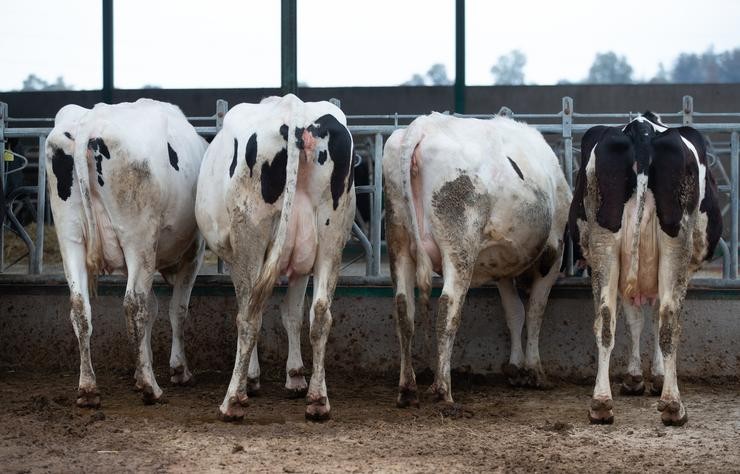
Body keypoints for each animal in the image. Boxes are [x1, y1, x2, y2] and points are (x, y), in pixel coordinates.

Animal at [44, 100, 207, 408]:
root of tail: (91, 120)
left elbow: (154, 307)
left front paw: (142, 368)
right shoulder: (193, 251)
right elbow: (177, 309)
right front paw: (177, 370)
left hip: (70, 237)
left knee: (80, 307)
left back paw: (88, 388)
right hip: (138, 239)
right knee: (133, 305)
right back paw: (150, 388)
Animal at [195, 94, 356, 420]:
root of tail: (294, 110)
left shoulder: (236, 258)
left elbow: (251, 308)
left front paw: (252, 378)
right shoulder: (301, 266)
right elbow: (292, 313)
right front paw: (295, 377)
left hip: (250, 238)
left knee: (249, 316)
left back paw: (232, 400)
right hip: (331, 237)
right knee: (321, 313)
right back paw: (318, 400)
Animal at [382, 112, 572, 408]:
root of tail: (422, 126)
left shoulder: (502, 266)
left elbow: (514, 312)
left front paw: (515, 369)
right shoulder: (552, 254)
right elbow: (535, 311)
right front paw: (534, 371)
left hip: (398, 240)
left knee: (404, 309)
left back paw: (408, 389)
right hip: (459, 244)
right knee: (448, 307)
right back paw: (443, 390)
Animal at [568, 111, 724, 426]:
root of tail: (642, 128)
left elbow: (634, 320)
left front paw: (635, 377)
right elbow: (649, 320)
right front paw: (653, 377)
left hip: (605, 241)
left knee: (605, 318)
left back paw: (601, 403)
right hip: (676, 242)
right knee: (668, 319)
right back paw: (673, 405)